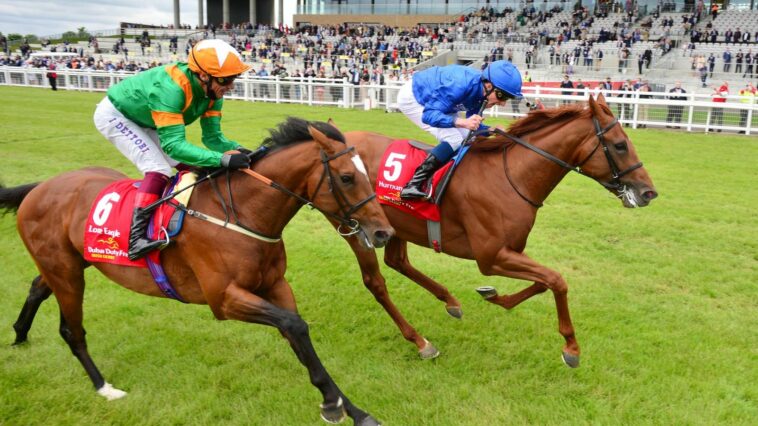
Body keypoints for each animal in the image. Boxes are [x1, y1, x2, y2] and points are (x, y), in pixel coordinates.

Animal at [4, 117, 398, 426]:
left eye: (365, 173)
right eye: (346, 177)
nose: (384, 232)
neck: (241, 213)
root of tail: (40, 187)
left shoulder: (274, 285)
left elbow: (298, 337)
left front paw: (352, 410)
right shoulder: (223, 299)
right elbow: (294, 325)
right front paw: (333, 405)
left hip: (69, 263)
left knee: (38, 287)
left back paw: (19, 335)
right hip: (67, 272)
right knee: (72, 330)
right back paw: (104, 386)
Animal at [338, 93, 660, 366]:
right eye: (620, 145)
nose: (649, 193)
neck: (510, 176)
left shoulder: (512, 250)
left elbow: (543, 282)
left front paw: (494, 296)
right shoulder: (490, 256)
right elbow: (557, 280)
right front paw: (571, 347)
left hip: (394, 226)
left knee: (398, 261)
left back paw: (450, 301)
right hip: (353, 225)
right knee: (376, 281)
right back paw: (421, 341)